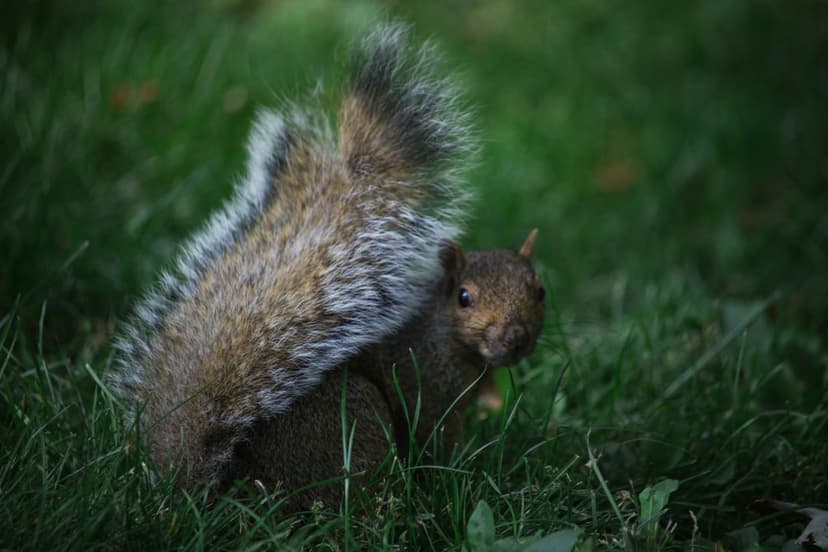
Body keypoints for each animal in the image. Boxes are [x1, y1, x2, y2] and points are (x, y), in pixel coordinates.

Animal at [107, 24, 545, 502]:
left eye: (539, 290)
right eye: (465, 297)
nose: (515, 337)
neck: (446, 340)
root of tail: (237, 486)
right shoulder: (425, 391)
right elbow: (434, 441)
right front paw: (460, 476)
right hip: (356, 418)